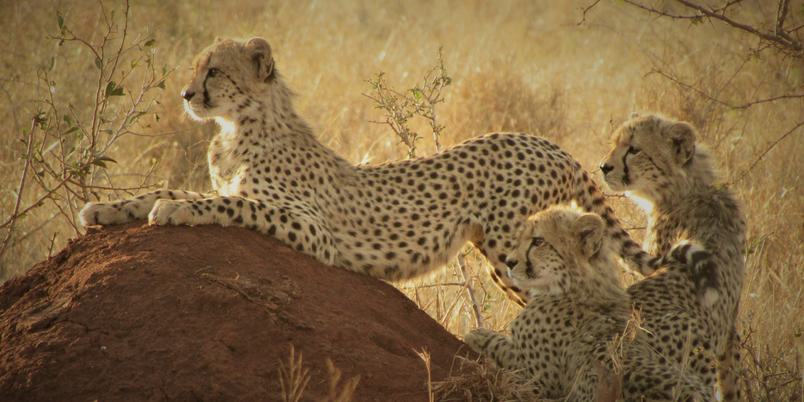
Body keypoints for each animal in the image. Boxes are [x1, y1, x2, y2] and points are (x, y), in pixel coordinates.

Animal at [79, 36, 654, 304]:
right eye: (196, 68)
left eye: (214, 71)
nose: (186, 94)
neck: (237, 126)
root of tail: (544, 142)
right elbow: (171, 187)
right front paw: (105, 207)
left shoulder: (311, 229)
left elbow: (225, 202)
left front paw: (175, 211)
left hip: (510, 248)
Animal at [464, 206, 714, 401]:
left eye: (538, 241)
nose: (509, 261)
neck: (575, 284)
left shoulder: (537, 380)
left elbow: (498, 345)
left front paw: (477, 334)